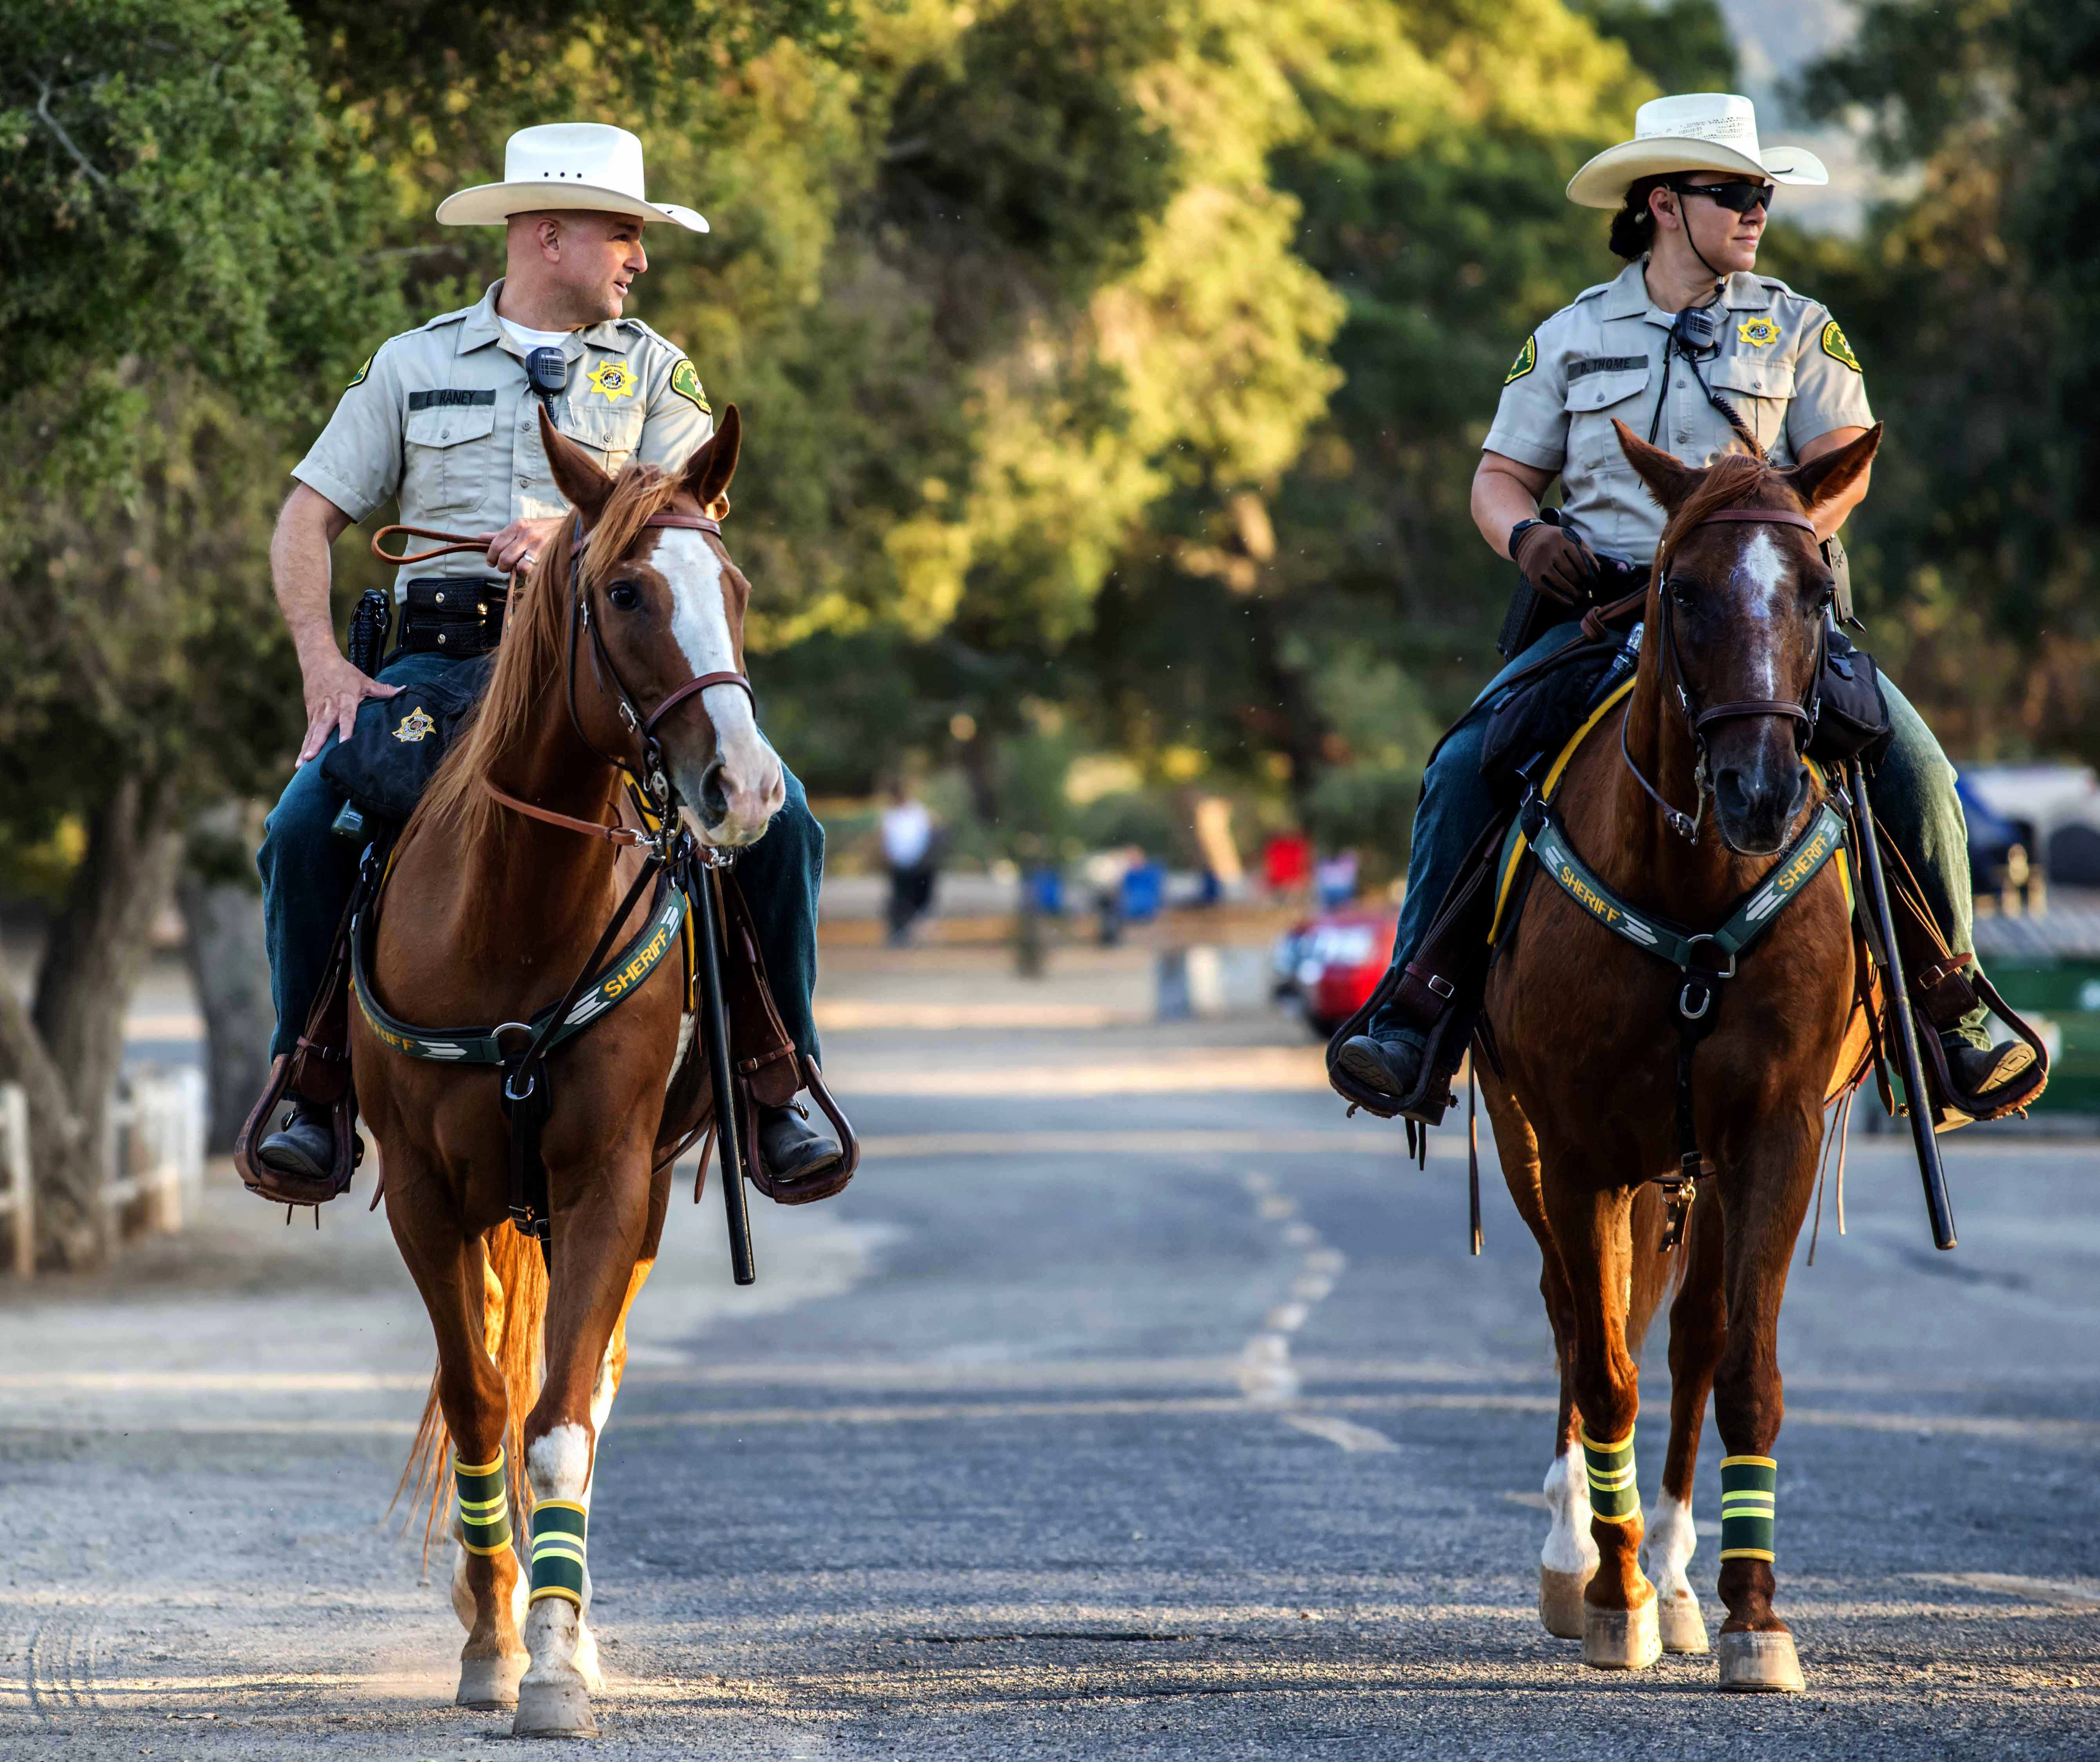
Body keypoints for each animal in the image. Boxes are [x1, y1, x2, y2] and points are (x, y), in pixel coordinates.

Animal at [349, 403, 785, 1739]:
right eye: (630, 592)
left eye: (736, 589)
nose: (746, 789)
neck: (513, 911)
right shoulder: (428, 1198)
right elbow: (482, 1404)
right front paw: (491, 1641)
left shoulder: (607, 1180)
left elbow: (560, 1424)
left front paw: (551, 1659)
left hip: (633, 1205)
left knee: (587, 1390)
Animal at [1487, 418, 1881, 1697]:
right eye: (1681, 590)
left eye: (1812, 591)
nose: (1757, 790)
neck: (1695, 886)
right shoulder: (1572, 1146)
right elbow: (1600, 1357)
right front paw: (1609, 1598)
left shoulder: (1771, 1132)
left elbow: (1740, 1364)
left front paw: (1753, 1617)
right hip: (1535, 1144)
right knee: (1578, 1318)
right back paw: (1585, 1558)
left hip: (1692, 1164)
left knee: (1691, 1332)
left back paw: (1670, 1575)